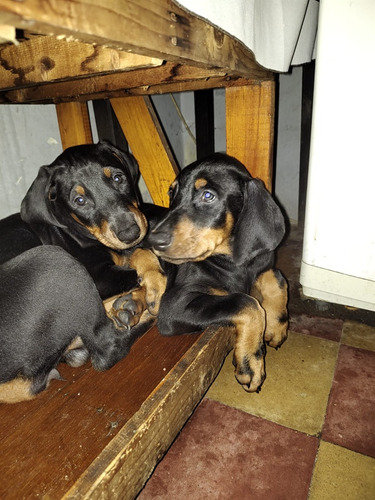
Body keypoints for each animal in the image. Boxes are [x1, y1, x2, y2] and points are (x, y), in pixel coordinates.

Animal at [146, 153, 288, 394]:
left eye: (208, 195)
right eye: (172, 194)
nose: (153, 240)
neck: (232, 262)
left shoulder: (261, 262)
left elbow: (278, 280)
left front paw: (276, 326)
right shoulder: (174, 305)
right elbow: (246, 302)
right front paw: (250, 365)